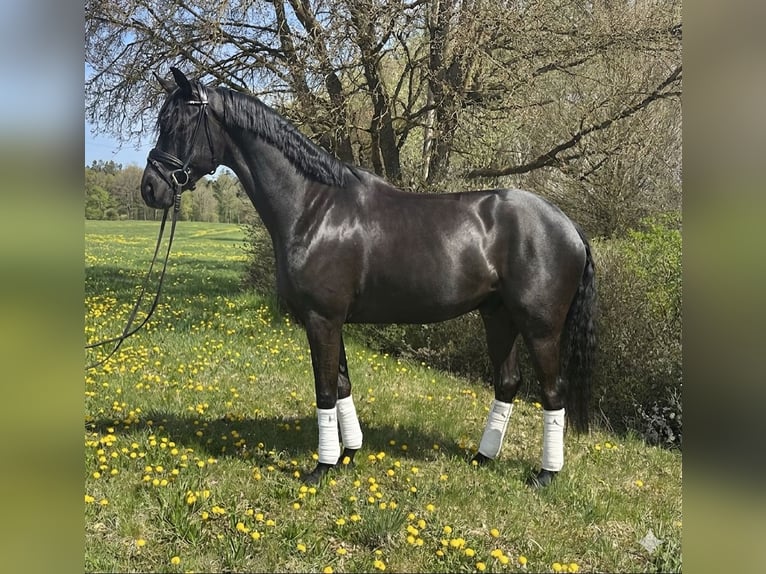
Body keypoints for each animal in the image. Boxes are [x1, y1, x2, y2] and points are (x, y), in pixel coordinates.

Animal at [141, 67, 597, 487]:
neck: (314, 207)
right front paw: (348, 455)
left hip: (540, 328)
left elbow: (325, 389)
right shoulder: (331, 321)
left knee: (552, 392)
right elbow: (343, 385)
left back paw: (545, 474)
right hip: (498, 316)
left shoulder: (322, 319)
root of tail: (570, 227)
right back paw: (483, 458)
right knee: (507, 382)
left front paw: (321, 468)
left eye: (178, 124)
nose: (150, 189)